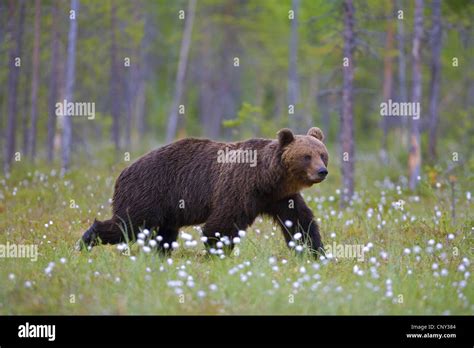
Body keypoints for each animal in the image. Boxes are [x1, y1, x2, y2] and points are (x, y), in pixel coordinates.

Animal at [78, 128, 330, 256]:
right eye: (306, 156)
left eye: (322, 154)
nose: (322, 171)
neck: (267, 179)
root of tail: (123, 171)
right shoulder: (239, 188)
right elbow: (222, 224)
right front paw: (218, 253)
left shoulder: (280, 198)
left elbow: (300, 222)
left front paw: (314, 251)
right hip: (147, 192)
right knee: (128, 225)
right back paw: (85, 241)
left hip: (168, 208)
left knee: (164, 234)